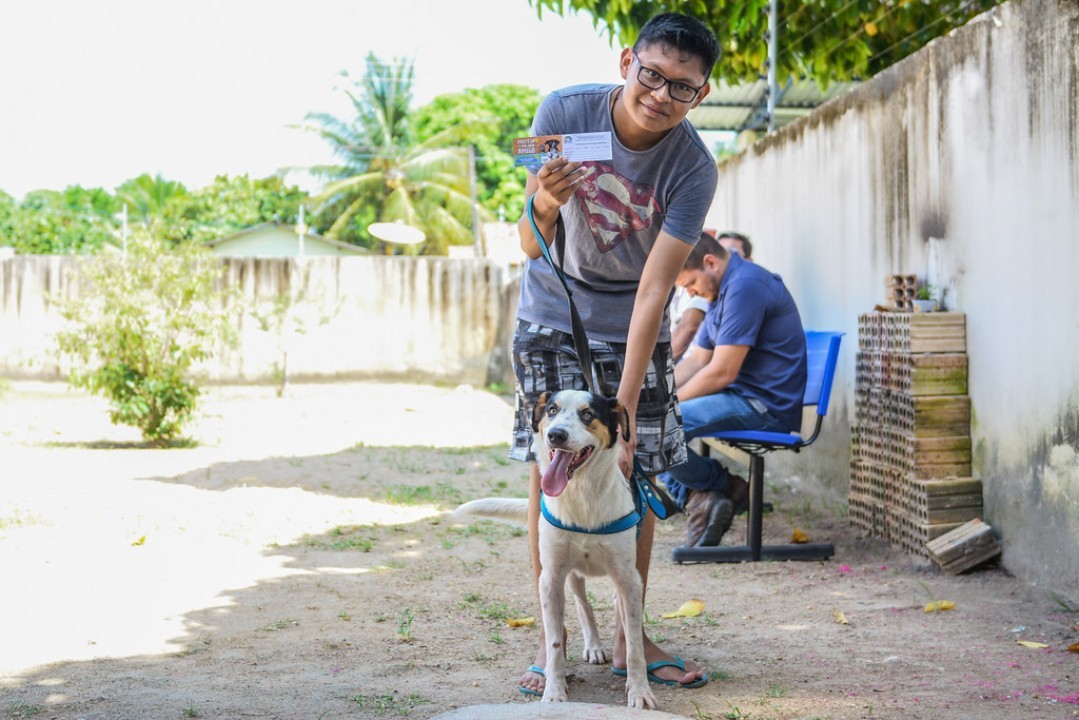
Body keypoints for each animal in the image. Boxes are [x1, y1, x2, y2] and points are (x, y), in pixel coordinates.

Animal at [455, 389, 656, 709]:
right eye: (552, 410)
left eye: (588, 414)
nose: (556, 435)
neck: (582, 495)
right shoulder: (550, 577)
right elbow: (554, 641)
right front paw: (553, 691)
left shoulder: (629, 578)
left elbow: (635, 644)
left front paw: (640, 693)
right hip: (571, 575)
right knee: (583, 605)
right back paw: (593, 645)